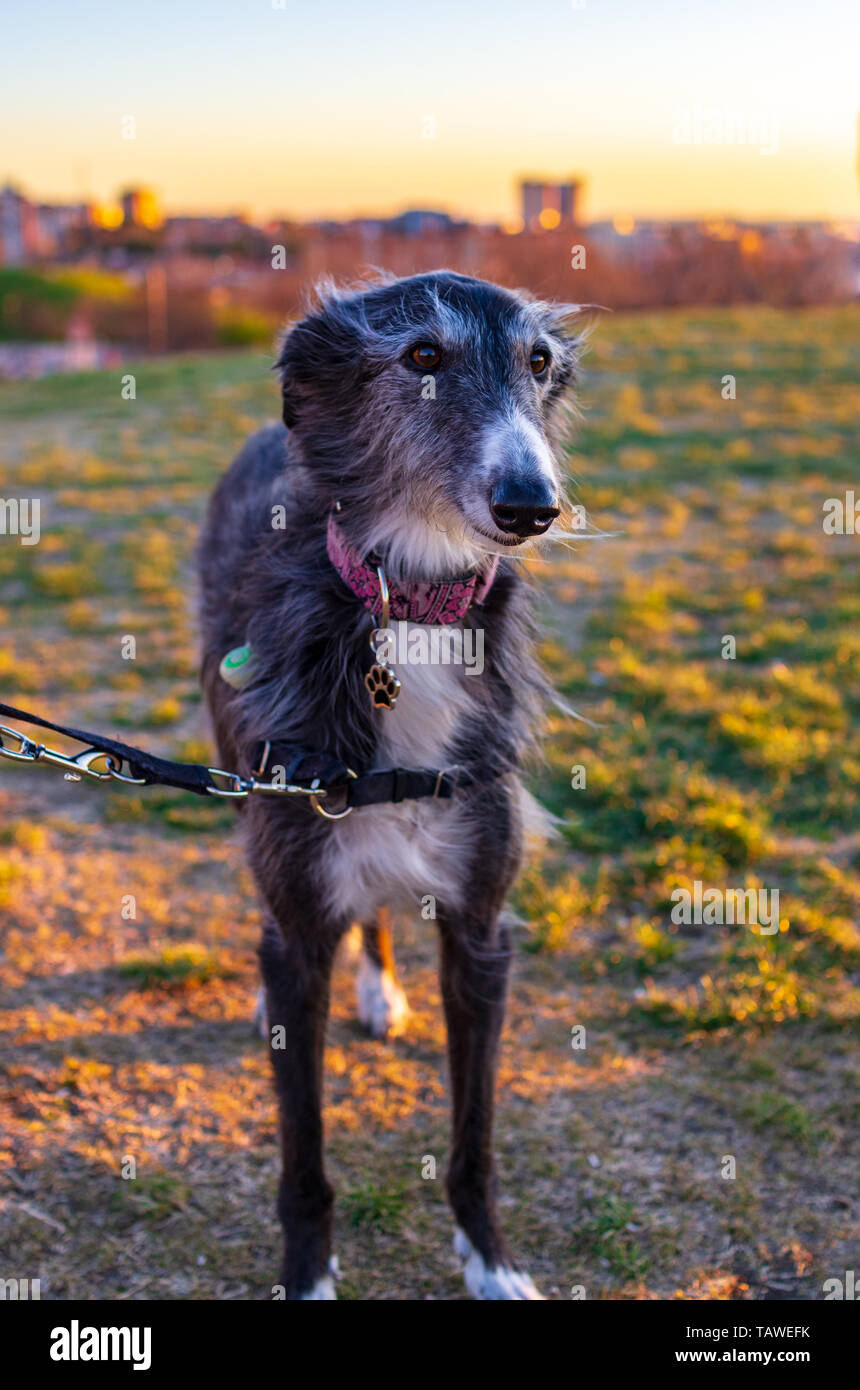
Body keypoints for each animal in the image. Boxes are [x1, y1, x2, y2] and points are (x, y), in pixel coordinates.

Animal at [197, 271, 586, 1301]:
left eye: (539, 361)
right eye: (421, 355)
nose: (533, 505)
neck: (408, 608)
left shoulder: (481, 933)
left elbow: (474, 1141)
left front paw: (492, 1262)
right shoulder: (299, 911)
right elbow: (304, 1160)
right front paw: (307, 1279)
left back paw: (377, 993)